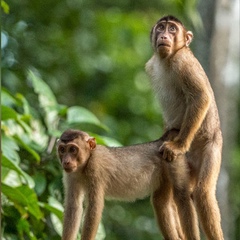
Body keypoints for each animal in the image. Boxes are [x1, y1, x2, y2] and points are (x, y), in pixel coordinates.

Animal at [56, 129, 199, 240]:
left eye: (73, 149)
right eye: (62, 150)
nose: (66, 161)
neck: (85, 164)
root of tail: (160, 142)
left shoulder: (95, 168)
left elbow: (94, 207)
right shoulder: (71, 175)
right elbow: (73, 206)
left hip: (174, 159)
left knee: (182, 196)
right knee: (160, 202)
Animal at [145, 15, 224, 238]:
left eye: (172, 29)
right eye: (161, 28)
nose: (164, 36)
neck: (167, 60)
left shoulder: (184, 62)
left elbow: (201, 97)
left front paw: (178, 145)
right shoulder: (151, 65)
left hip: (211, 147)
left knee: (202, 193)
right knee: (172, 196)